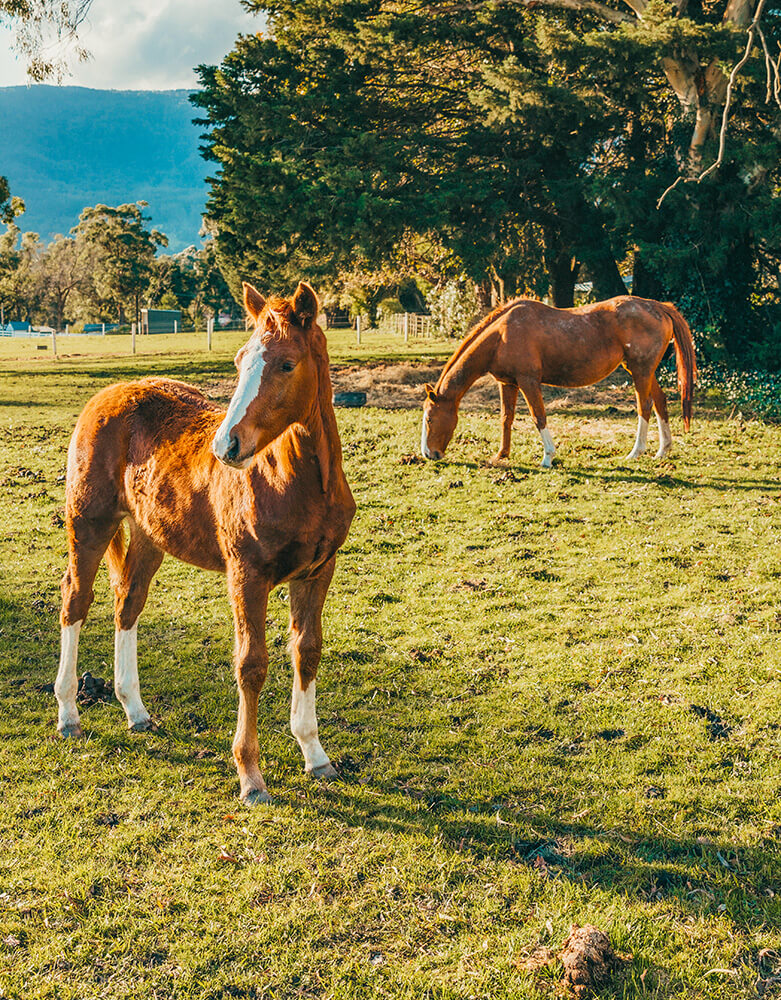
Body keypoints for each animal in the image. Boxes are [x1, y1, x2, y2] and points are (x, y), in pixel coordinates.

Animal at [54, 281, 355, 805]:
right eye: (238, 360)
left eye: (286, 364)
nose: (226, 446)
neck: (295, 482)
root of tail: (106, 394)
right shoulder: (247, 574)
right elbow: (251, 664)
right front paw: (251, 777)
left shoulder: (318, 572)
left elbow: (307, 651)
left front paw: (316, 756)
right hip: (89, 523)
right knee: (75, 601)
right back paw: (69, 713)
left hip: (149, 534)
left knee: (127, 604)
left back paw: (136, 711)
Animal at [421, 295, 696, 468]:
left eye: (430, 419)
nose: (428, 454)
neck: (501, 335)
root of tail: (658, 306)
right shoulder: (507, 383)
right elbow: (506, 418)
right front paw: (502, 454)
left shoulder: (528, 381)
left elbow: (538, 417)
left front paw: (548, 457)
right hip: (644, 372)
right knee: (660, 402)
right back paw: (662, 450)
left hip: (640, 371)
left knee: (645, 407)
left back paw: (636, 452)